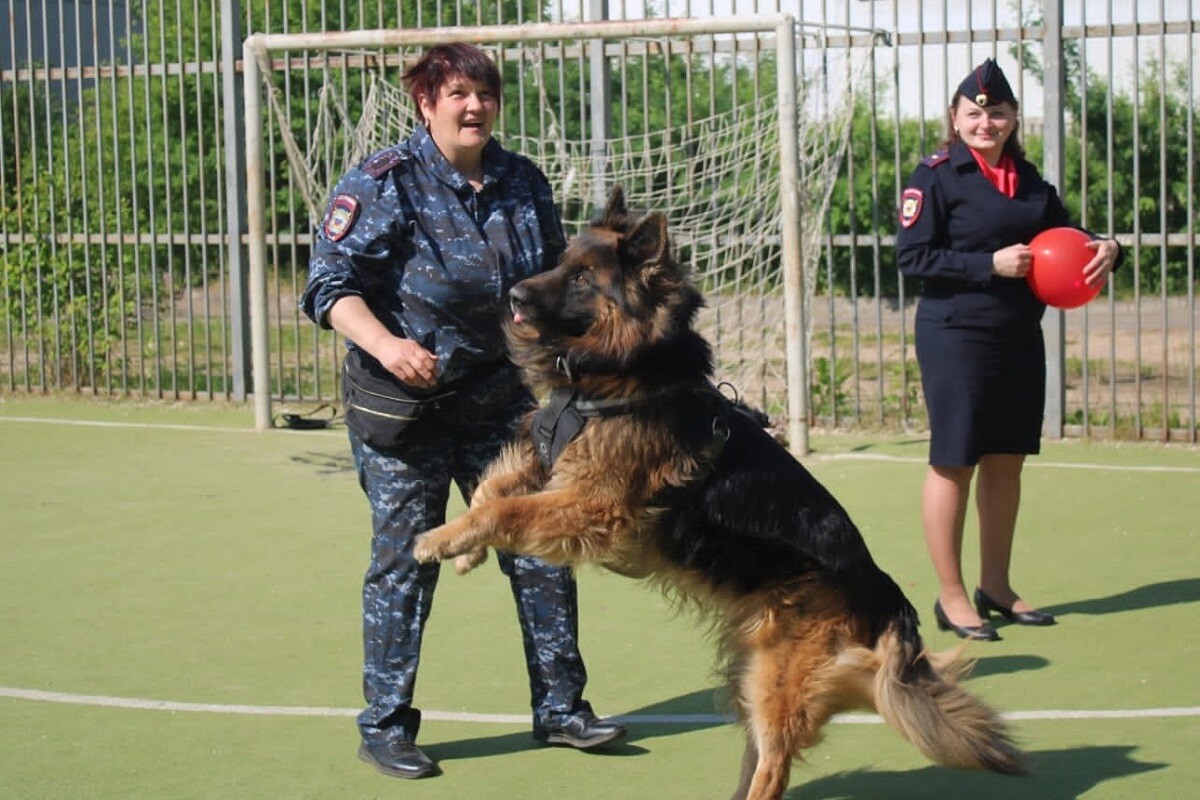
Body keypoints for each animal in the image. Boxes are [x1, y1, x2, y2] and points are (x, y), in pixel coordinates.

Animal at [417, 189, 1027, 800]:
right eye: (562, 262)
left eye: (584, 278)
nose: (515, 295)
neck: (623, 369)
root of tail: (886, 597)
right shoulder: (549, 462)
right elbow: (493, 489)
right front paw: (463, 547)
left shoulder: (592, 505)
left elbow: (507, 506)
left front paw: (439, 540)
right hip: (752, 669)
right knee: (761, 756)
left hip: (776, 680)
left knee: (773, 765)